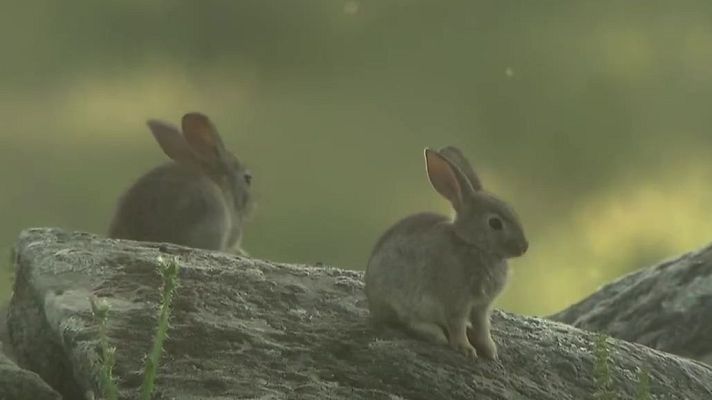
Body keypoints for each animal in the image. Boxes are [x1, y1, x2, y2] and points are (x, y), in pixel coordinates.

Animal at [364, 146, 528, 360]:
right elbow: (457, 324)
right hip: (398, 299)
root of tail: (372, 304)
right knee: (409, 322)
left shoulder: (481, 307)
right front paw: (466, 349)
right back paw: (437, 335)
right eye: (495, 223)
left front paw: (490, 351)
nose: (524, 247)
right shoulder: (456, 300)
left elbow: (483, 327)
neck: (473, 244)